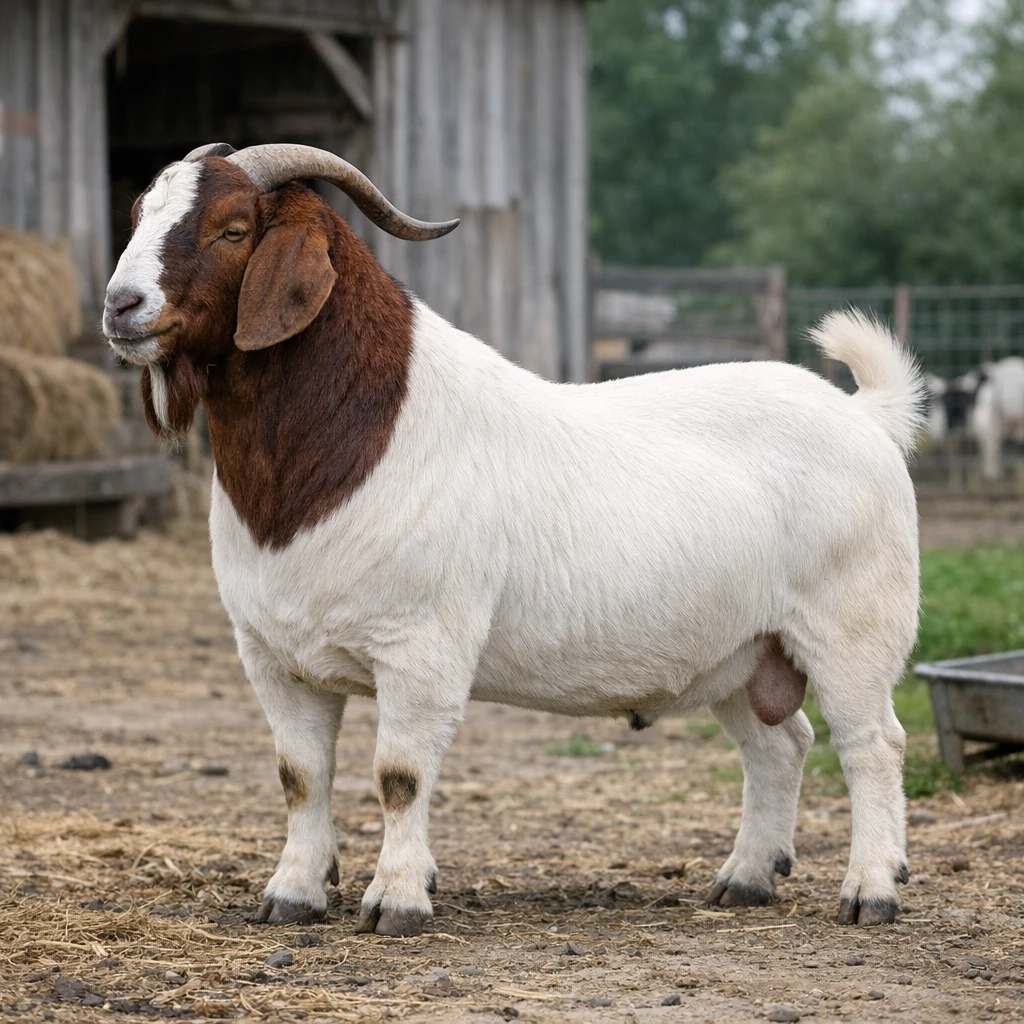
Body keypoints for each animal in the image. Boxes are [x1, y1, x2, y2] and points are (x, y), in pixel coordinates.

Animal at [103, 143, 925, 936]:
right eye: (141, 212)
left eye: (233, 229)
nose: (120, 305)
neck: (358, 434)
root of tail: (866, 415)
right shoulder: (275, 657)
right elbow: (300, 777)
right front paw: (292, 896)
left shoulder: (421, 646)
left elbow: (399, 775)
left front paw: (397, 902)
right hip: (742, 652)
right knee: (779, 746)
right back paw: (747, 879)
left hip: (852, 627)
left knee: (871, 745)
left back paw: (870, 891)